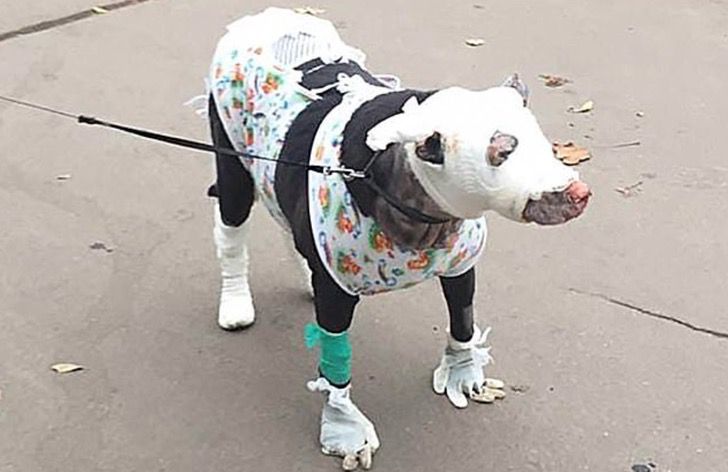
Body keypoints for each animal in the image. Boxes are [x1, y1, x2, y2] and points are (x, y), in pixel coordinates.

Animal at [202, 8, 588, 472]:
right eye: (501, 151)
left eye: (541, 139)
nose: (577, 193)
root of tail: (262, 16)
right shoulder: (337, 296)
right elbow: (335, 367)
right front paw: (344, 428)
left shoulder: (460, 266)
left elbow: (463, 319)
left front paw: (462, 371)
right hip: (232, 166)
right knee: (231, 231)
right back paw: (235, 301)